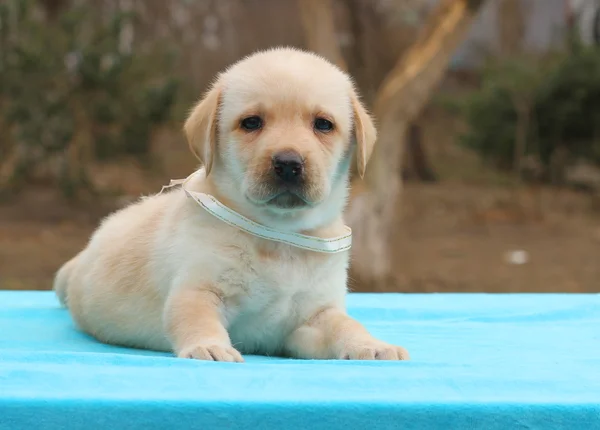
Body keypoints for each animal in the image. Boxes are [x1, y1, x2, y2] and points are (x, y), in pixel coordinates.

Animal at [54, 47, 410, 362]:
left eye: (323, 124)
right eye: (251, 122)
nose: (288, 163)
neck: (278, 235)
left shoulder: (314, 315)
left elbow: (346, 325)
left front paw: (372, 345)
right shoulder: (199, 288)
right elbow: (195, 316)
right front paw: (209, 347)